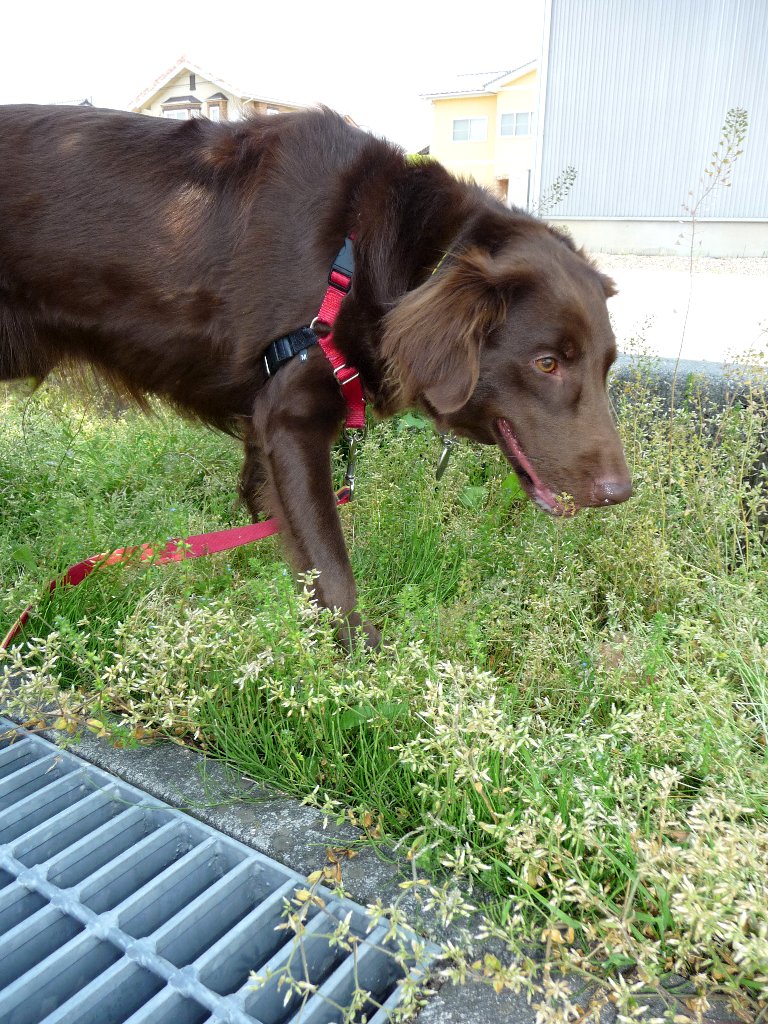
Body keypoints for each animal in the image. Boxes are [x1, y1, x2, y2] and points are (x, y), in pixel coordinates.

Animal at [0, 104, 631, 646]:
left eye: (607, 366)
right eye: (547, 363)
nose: (619, 494)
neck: (364, 255)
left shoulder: (265, 422)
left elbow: (272, 523)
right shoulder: (291, 421)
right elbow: (332, 568)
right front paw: (365, 665)